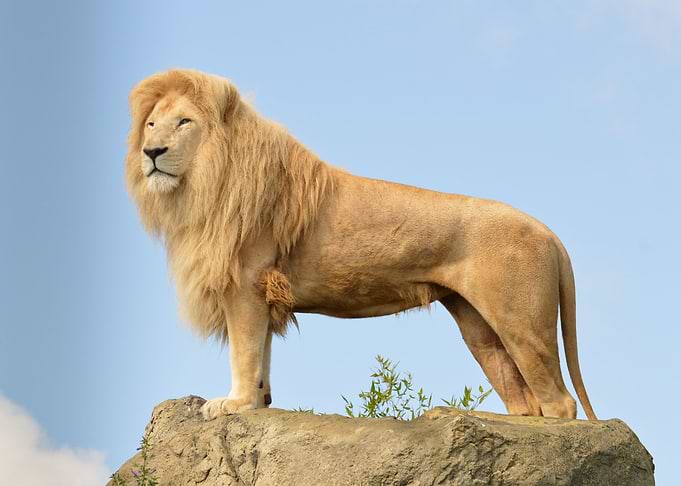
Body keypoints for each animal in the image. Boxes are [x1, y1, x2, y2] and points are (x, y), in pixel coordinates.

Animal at [126, 69, 597, 421]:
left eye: (184, 122)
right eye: (151, 124)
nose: (152, 151)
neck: (201, 185)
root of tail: (547, 230)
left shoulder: (245, 283)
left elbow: (244, 350)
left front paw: (234, 403)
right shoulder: (263, 291)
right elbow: (261, 354)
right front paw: (258, 401)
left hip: (521, 320)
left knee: (559, 402)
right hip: (478, 324)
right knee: (523, 398)